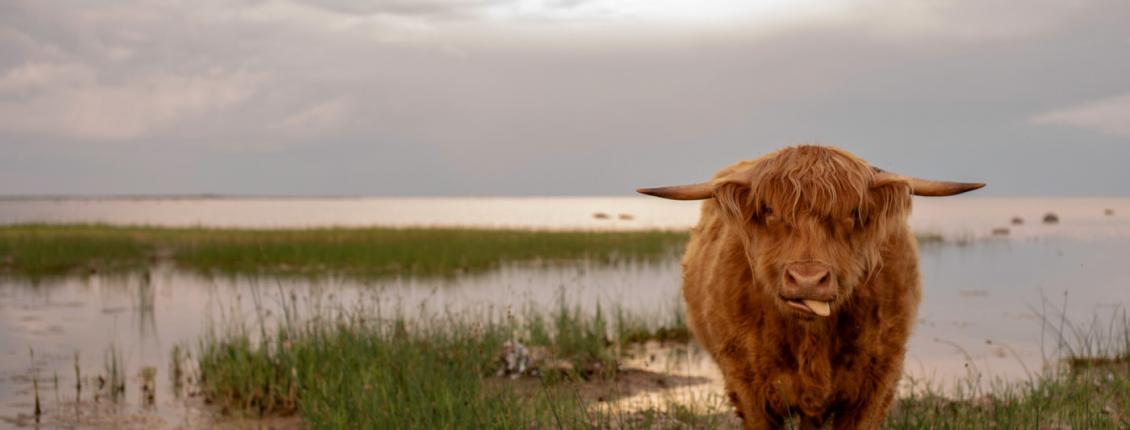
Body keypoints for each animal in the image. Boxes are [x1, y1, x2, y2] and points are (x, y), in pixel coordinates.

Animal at [641, 144, 985, 428]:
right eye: (768, 210)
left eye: (853, 213)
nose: (808, 279)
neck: (811, 337)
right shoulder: (749, 389)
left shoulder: (875, 386)